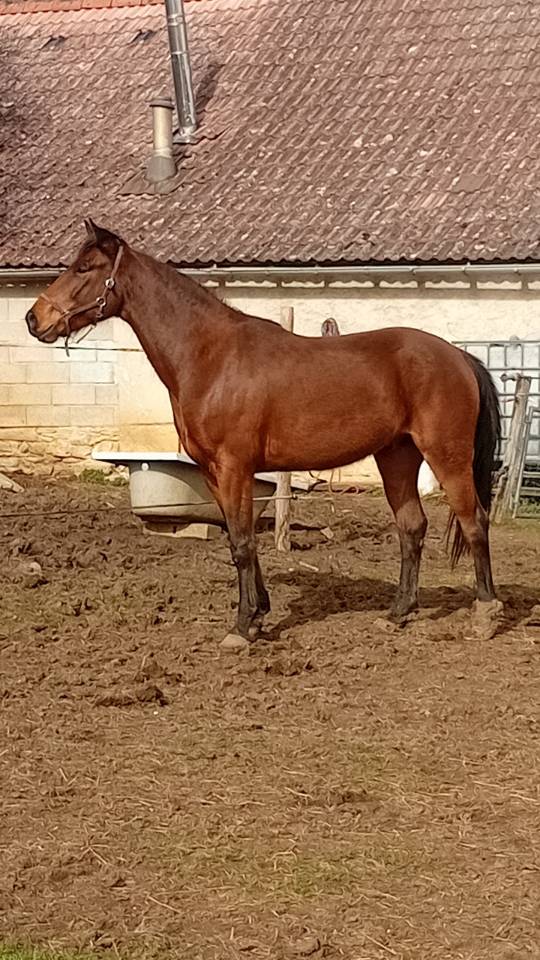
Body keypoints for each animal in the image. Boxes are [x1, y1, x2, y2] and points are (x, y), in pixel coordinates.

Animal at [26, 220, 502, 645]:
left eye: (85, 267)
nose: (34, 318)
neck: (211, 357)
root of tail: (458, 356)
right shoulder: (214, 473)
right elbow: (240, 540)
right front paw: (258, 615)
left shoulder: (235, 468)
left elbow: (241, 544)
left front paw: (241, 628)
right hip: (397, 455)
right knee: (412, 528)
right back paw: (398, 613)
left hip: (446, 456)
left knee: (474, 521)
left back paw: (485, 614)